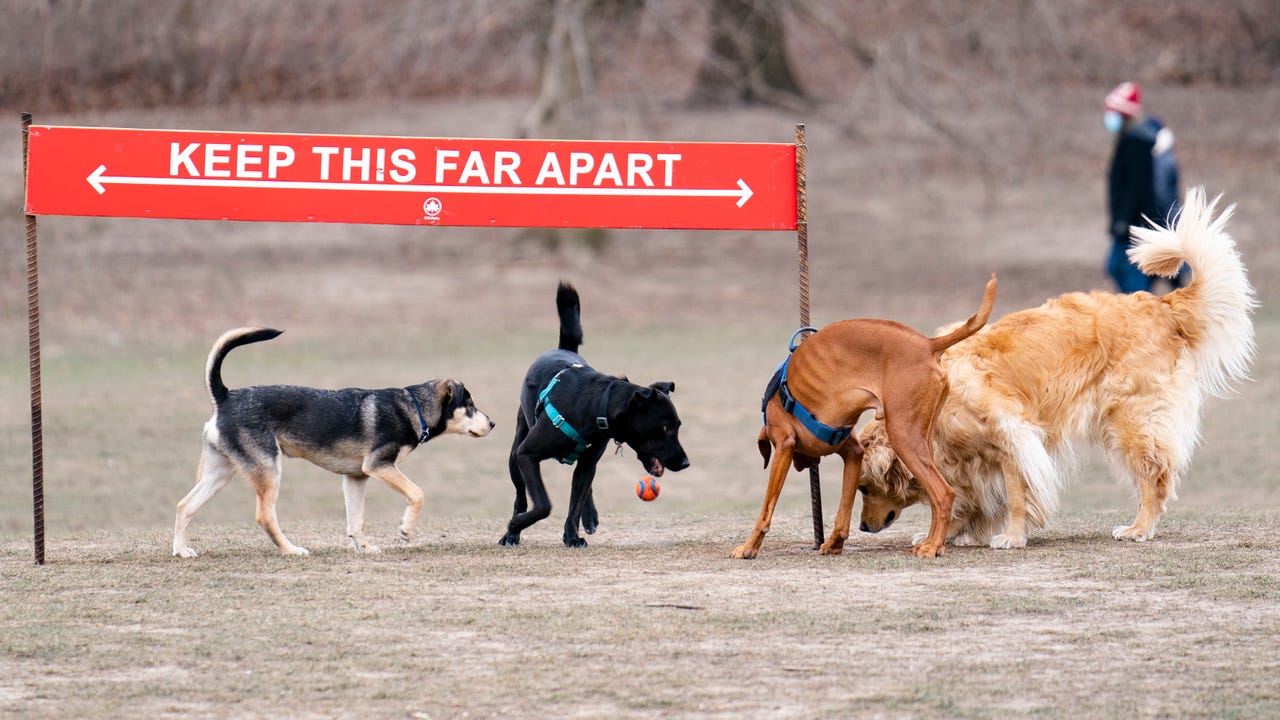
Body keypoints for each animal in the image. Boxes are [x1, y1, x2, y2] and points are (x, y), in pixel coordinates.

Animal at [177, 325, 496, 556]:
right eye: (469, 404)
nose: (493, 423)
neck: (413, 407)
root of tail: (225, 397)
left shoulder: (356, 477)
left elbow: (356, 520)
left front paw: (364, 548)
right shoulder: (380, 466)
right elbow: (417, 494)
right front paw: (406, 530)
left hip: (220, 472)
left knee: (184, 506)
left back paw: (181, 551)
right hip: (268, 470)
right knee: (264, 517)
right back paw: (291, 550)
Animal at [501, 280, 696, 543]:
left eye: (678, 426)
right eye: (666, 427)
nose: (685, 463)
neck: (596, 406)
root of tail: (563, 348)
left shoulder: (589, 460)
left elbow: (576, 500)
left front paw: (572, 536)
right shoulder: (527, 454)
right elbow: (543, 504)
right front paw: (515, 525)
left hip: (585, 462)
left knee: (584, 488)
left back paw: (589, 518)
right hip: (516, 453)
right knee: (521, 494)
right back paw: (512, 533)